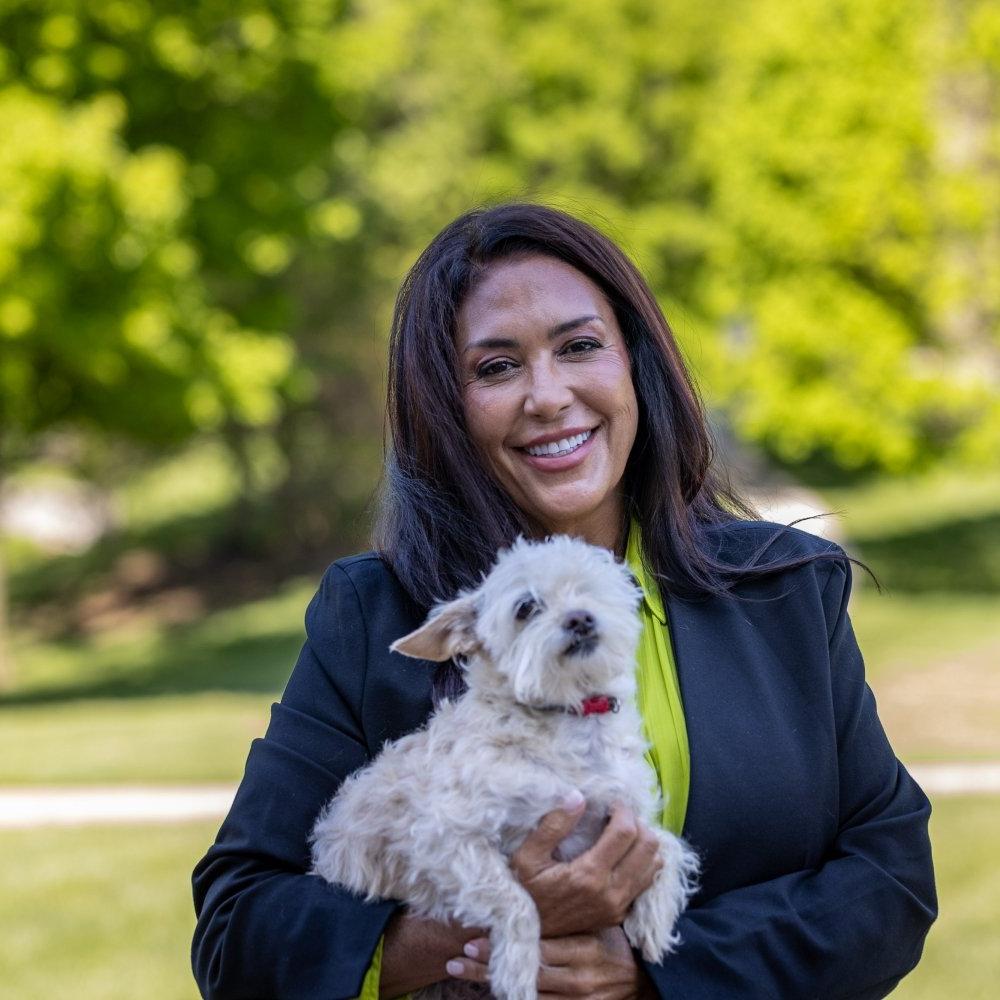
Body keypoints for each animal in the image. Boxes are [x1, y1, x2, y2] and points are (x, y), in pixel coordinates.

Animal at [310, 540, 696, 1000]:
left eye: (588, 588)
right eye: (526, 607)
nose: (580, 618)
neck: (568, 717)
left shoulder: (622, 819)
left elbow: (667, 844)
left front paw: (654, 920)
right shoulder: (445, 839)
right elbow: (516, 900)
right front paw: (517, 968)